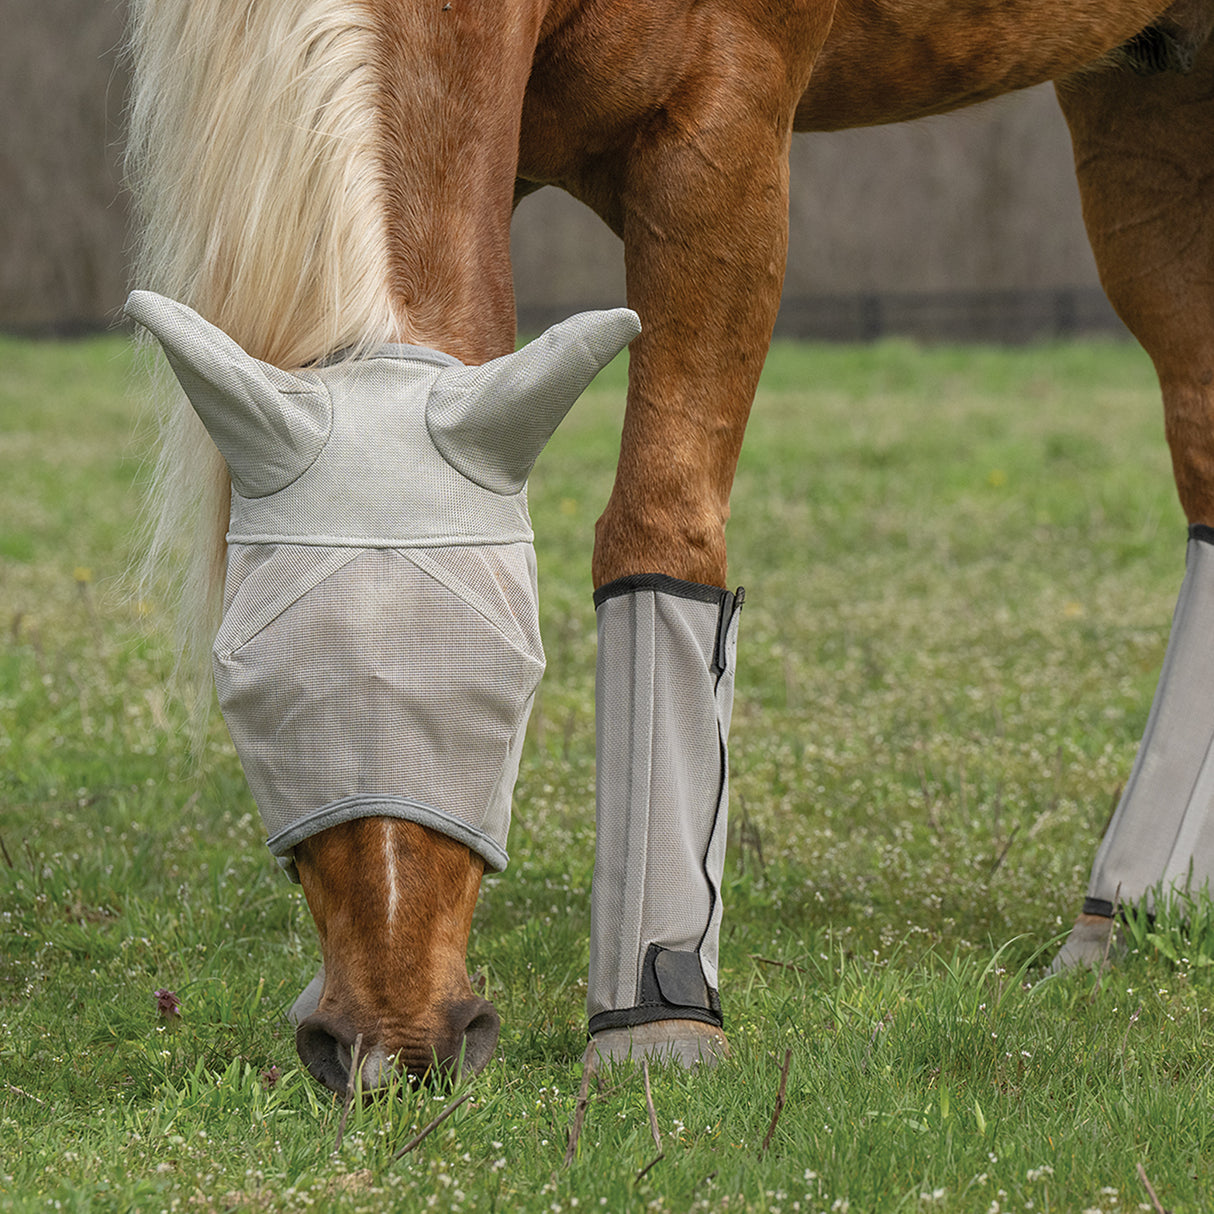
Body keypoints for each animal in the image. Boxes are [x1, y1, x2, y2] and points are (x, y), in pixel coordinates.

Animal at [126, 0, 1214, 1093]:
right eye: (245, 695)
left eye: (513, 691)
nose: (394, 1043)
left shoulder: (721, 143)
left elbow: (655, 528)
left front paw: (654, 1017)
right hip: (1139, 98)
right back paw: (1128, 909)